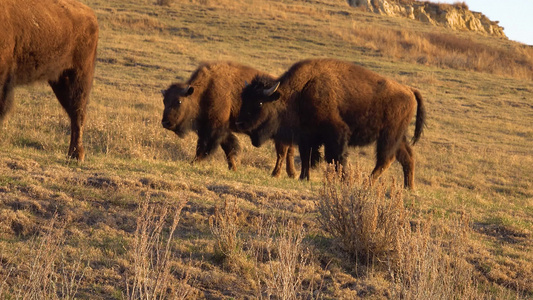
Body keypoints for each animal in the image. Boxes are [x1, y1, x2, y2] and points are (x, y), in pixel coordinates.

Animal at [0, 0, 98, 162]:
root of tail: (91, 15)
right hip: (61, 80)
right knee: (74, 113)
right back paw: (72, 154)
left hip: (79, 76)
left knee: (78, 113)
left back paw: (76, 155)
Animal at [161, 61, 304, 177]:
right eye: (164, 101)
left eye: (179, 101)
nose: (165, 122)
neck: (205, 90)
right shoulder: (219, 130)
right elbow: (228, 148)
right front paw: (233, 168)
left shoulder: (214, 129)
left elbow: (205, 147)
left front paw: (193, 163)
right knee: (289, 150)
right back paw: (291, 174)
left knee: (282, 151)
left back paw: (276, 174)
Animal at [236, 58, 424, 189]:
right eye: (244, 99)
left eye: (259, 103)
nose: (240, 123)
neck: (299, 92)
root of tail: (409, 90)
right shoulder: (306, 136)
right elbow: (306, 156)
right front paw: (304, 177)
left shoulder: (336, 134)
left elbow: (336, 158)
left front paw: (343, 181)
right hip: (398, 137)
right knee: (407, 157)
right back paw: (409, 188)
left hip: (389, 135)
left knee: (386, 159)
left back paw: (367, 184)